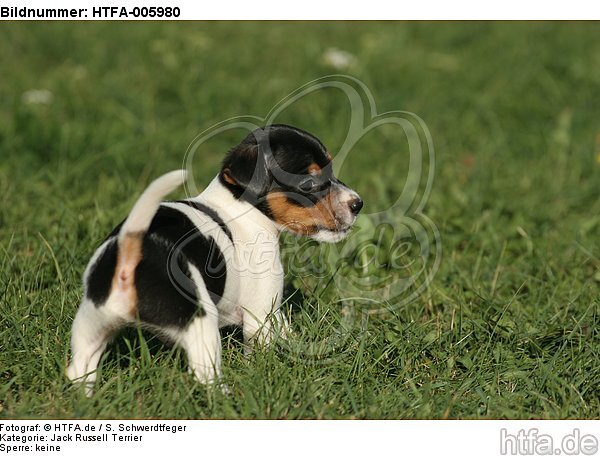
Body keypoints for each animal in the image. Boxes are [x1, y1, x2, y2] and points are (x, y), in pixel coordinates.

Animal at [68, 123, 364, 394]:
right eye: (309, 182)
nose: (358, 204)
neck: (242, 208)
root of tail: (130, 252)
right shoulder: (260, 311)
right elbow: (263, 346)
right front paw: (264, 372)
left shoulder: (271, 307)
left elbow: (285, 327)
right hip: (199, 326)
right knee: (206, 377)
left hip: (91, 324)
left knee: (78, 369)